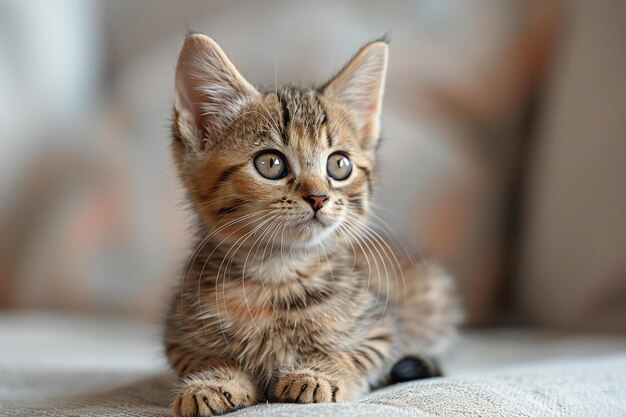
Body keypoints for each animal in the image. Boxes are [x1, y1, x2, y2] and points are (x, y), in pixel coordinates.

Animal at [165, 34, 458, 414]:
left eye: (339, 165)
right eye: (270, 163)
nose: (318, 197)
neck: (278, 275)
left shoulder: (380, 328)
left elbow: (350, 354)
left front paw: (317, 374)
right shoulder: (177, 335)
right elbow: (204, 356)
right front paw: (212, 382)